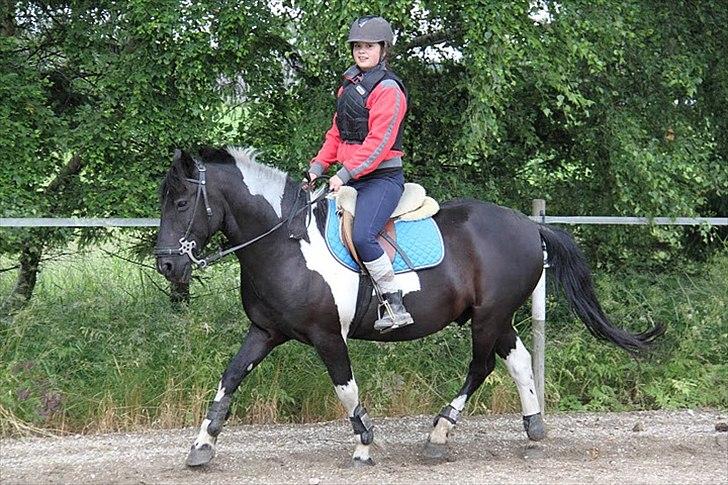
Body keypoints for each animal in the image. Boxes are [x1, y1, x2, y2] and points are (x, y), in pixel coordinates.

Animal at [154, 146, 664, 467]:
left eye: (182, 202)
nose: (167, 264)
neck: (286, 241)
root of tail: (530, 225)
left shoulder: (327, 336)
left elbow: (346, 391)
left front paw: (363, 446)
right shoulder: (264, 332)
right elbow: (229, 381)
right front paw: (202, 445)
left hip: (488, 318)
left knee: (480, 367)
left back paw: (440, 433)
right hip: (495, 317)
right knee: (517, 361)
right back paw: (533, 429)